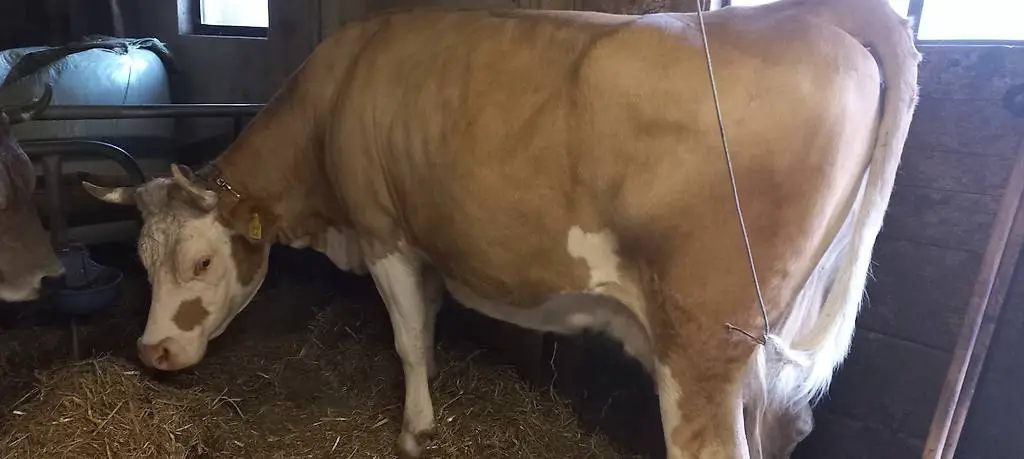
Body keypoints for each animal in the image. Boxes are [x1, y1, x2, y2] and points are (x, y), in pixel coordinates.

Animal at [82, 0, 921, 457]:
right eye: (142, 262)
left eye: (198, 262)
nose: (152, 353)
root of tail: (807, 16)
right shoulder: (425, 239)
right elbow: (428, 325)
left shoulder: (385, 230)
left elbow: (408, 340)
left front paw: (415, 430)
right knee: (785, 422)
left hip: (704, 344)